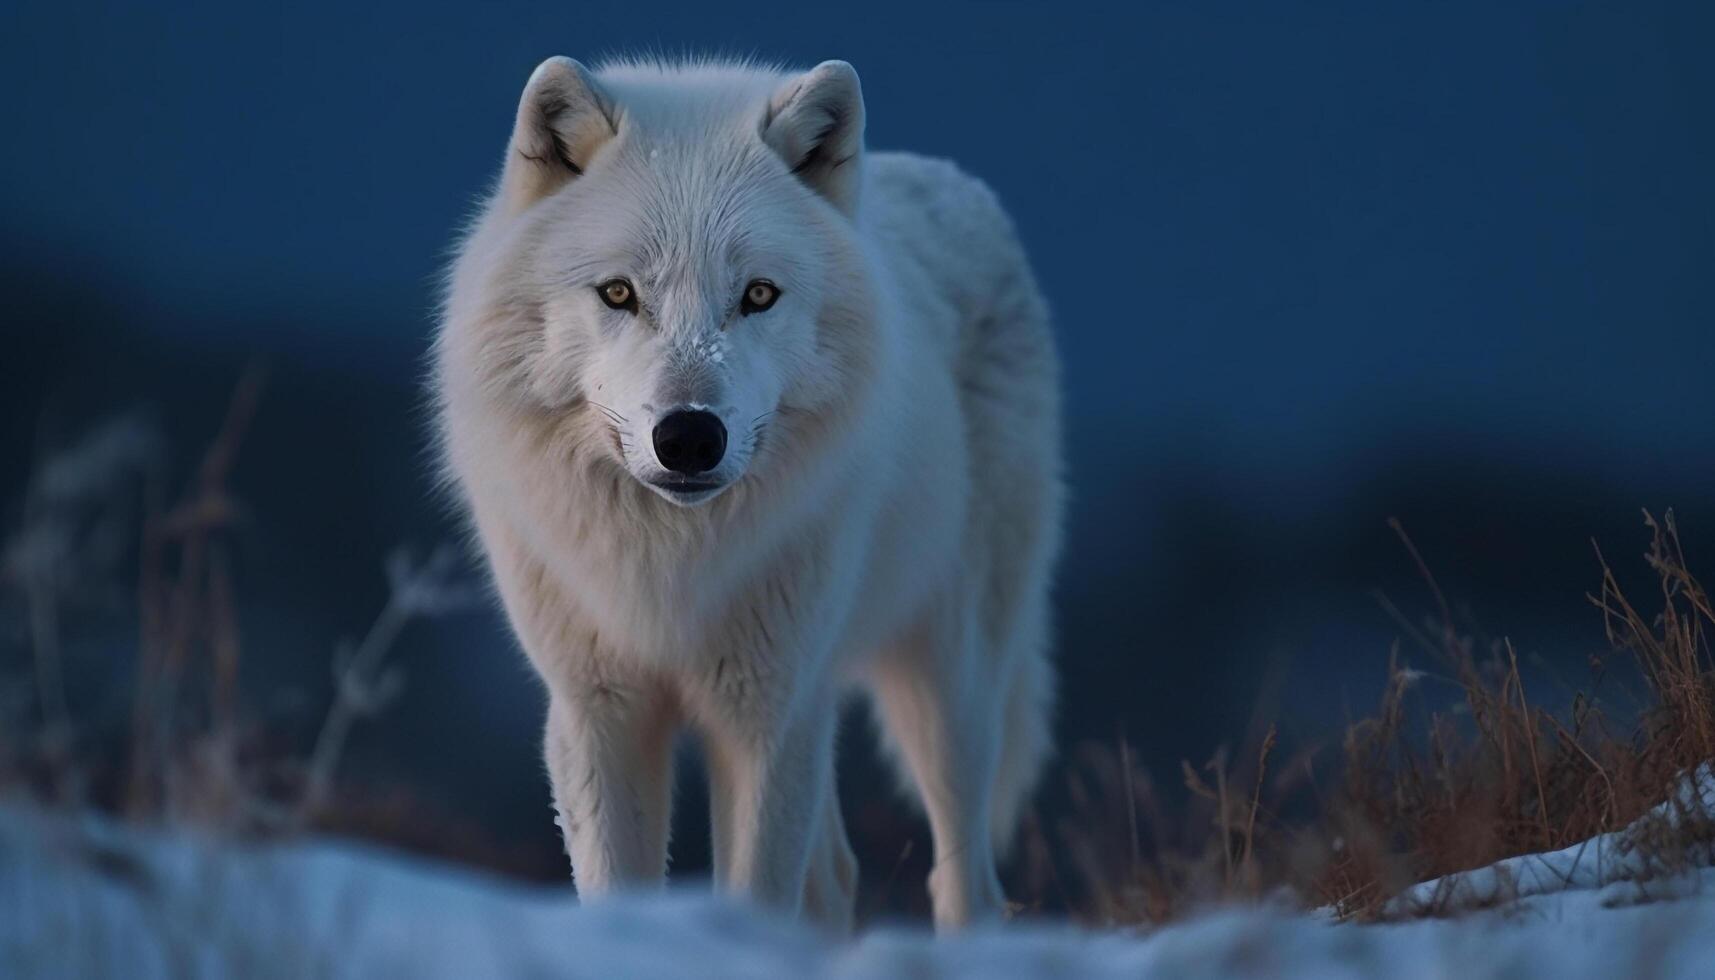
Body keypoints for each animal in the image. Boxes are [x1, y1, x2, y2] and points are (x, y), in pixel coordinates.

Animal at [432, 57, 1056, 933]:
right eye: (618, 294)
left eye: (757, 295)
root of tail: (959, 184)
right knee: (834, 876)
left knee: (964, 881)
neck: (670, 567)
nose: (689, 437)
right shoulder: (598, 714)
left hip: (945, 681)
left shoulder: (764, 718)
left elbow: (757, 890)